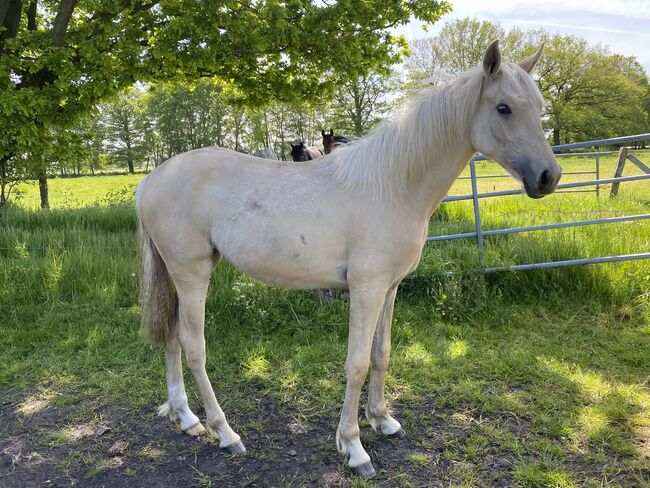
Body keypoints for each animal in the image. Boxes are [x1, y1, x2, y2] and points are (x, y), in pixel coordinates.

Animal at [135, 41, 556, 476]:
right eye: (504, 107)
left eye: (540, 106)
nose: (549, 177)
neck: (393, 184)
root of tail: (152, 179)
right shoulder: (366, 288)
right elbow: (356, 362)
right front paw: (354, 446)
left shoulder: (390, 287)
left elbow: (381, 353)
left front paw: (382, 419)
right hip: (192, 274)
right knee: (193, 346)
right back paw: (225, 433)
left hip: (179, 275)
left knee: (171, 335)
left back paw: (187, 418)